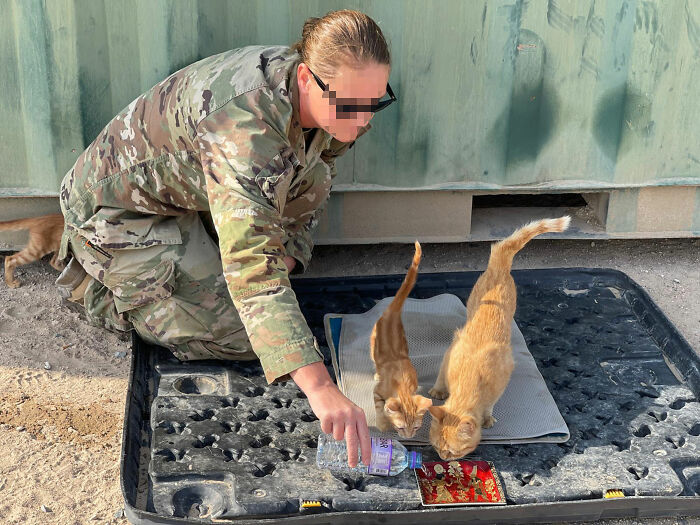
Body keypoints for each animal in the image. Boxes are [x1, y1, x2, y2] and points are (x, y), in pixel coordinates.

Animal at [372, 242, 432, 438]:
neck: (403, 386)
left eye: (416, 427)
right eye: (400, 427)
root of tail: (393, 311)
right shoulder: (378, 392)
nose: (409, 437)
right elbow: (379, 406)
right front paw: (383, 423)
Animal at [426, 215, 568, 456]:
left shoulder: (501, 380)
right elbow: (440, 377)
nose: (442, 457)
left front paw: (487, 417)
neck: (470, 377)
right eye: (436, 446)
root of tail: (499, 267)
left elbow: (490, 404)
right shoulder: (450, 353)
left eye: (453, 452)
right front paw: (438, 390)